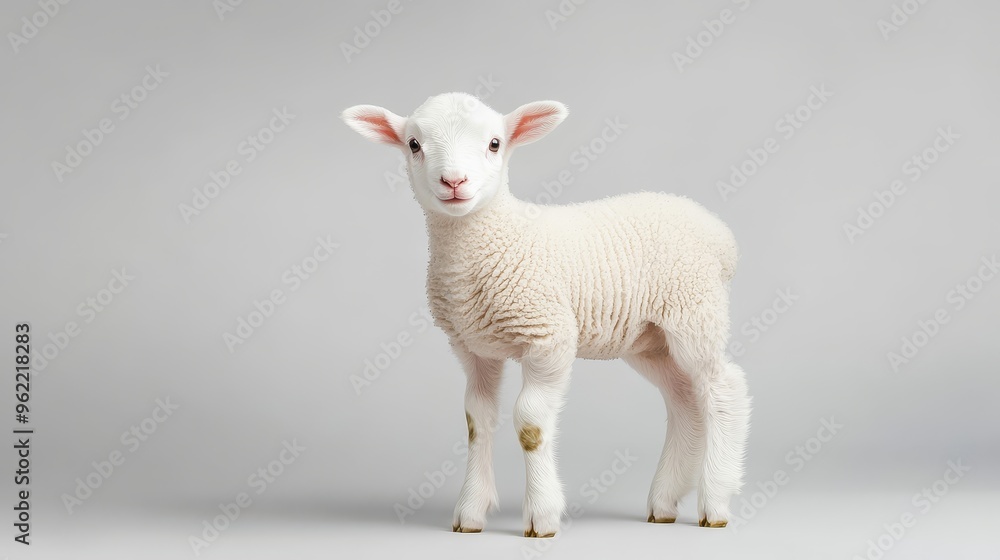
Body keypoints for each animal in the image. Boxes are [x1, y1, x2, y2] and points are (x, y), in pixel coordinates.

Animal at [342, 92, 751, 537]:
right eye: (414, 144)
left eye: (495, 144)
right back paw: (664, 502)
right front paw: (470, 512)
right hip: (649, 340)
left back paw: (716, 502)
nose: (454, 182)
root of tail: (720, 234)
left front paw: (541, 514)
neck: (492, 242)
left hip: (693, 309)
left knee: (724, 388)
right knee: (684, 400)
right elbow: (476, 422)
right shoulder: (473, 348)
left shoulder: (548, 337)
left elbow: (530, 424)